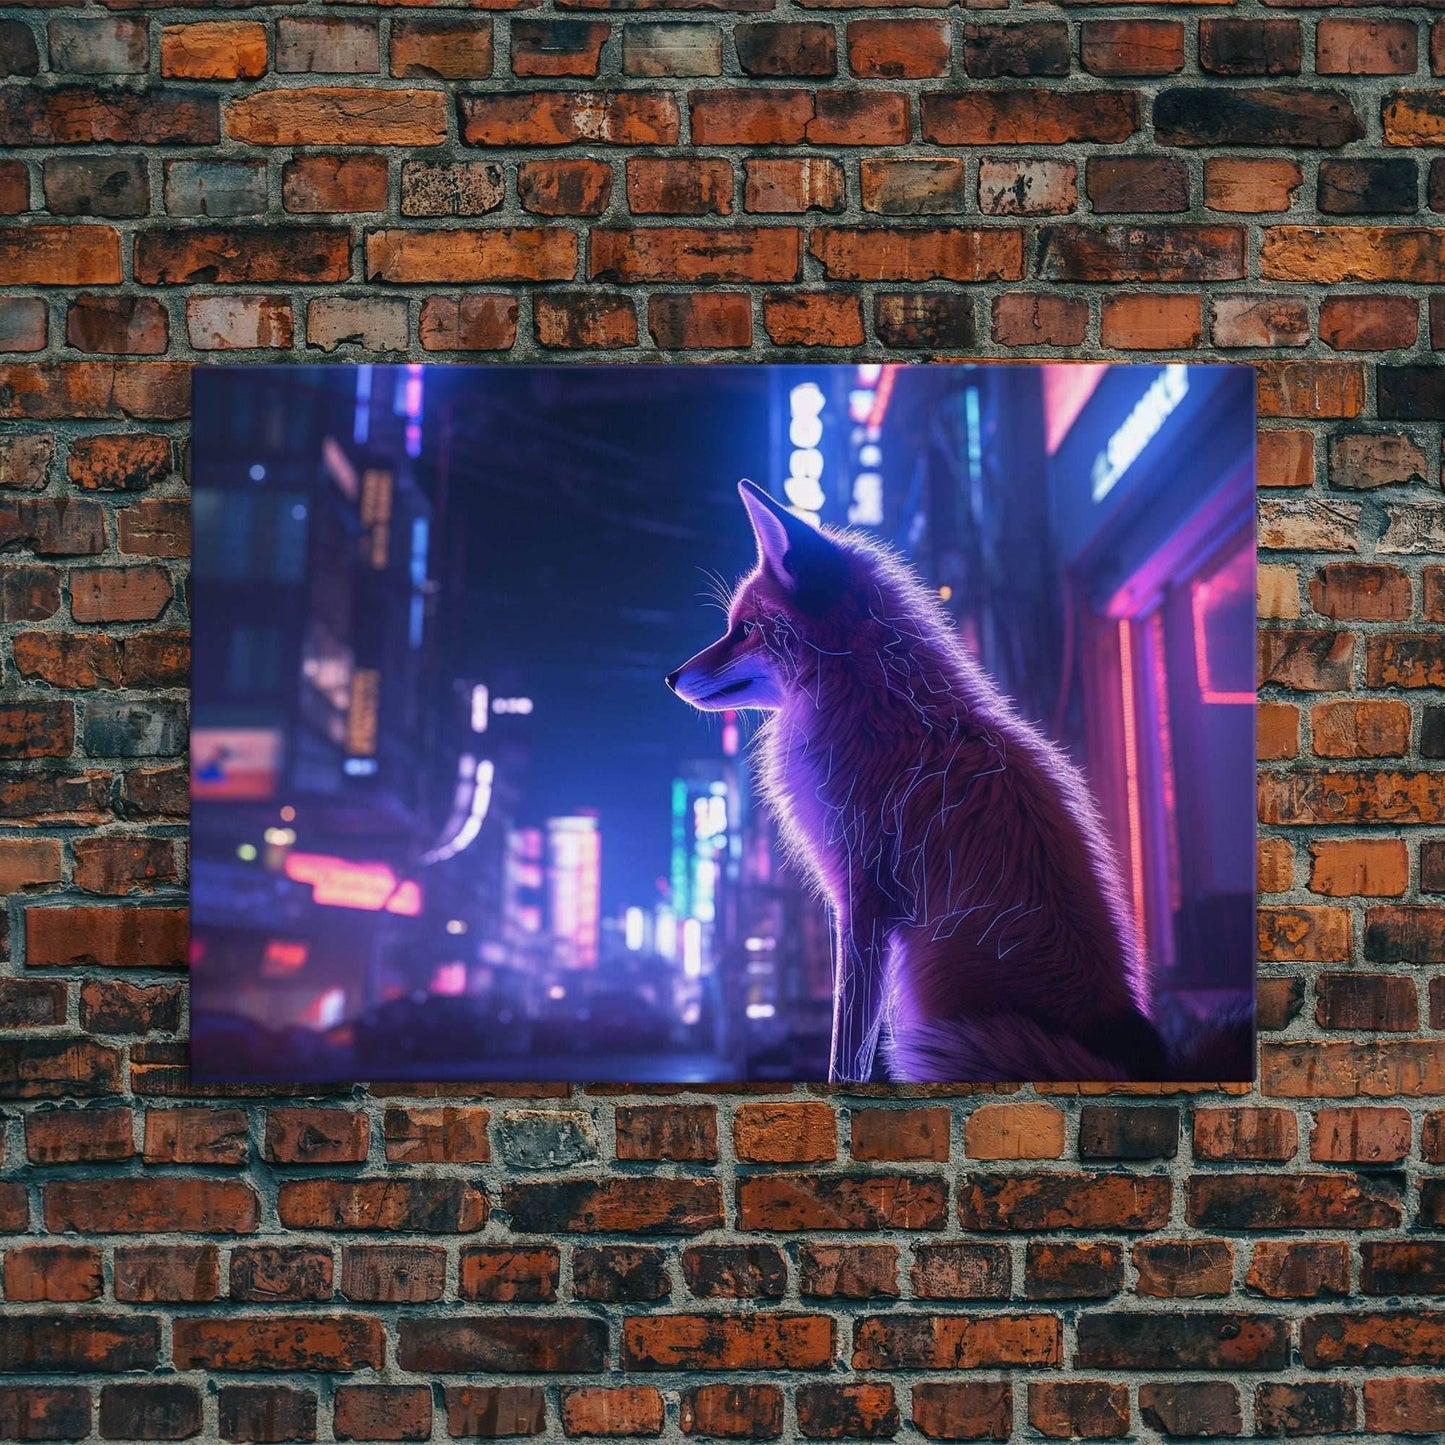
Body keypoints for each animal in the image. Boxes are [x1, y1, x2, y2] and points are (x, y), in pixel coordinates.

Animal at [667, 480, 1252, 1085]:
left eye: (744, 630)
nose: (670, 677)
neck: (881, 713)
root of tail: (1144, 1057)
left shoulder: (862, 900)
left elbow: (845, 1054)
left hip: (928, 1035)